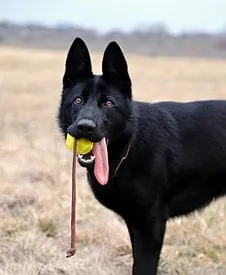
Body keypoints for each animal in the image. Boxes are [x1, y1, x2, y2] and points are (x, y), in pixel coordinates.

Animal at [58, 38, 226, 275]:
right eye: (78, 100)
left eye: (109, 103)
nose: (85, 127)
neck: (129, 147)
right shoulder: (135, 223)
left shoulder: (150, 226)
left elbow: (143, 266)